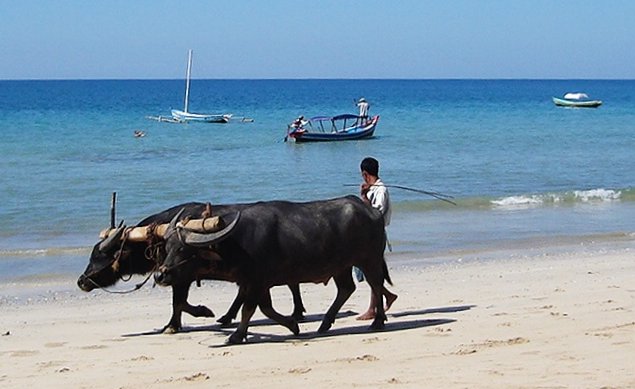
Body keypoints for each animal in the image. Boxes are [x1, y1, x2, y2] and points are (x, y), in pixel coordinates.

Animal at [78, 202, 306, 332]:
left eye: (99, 256)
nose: (81, 281)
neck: (159, 237)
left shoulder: (181, 276)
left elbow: (178, 302)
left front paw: (193, 316)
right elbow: (178, 302)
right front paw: (175, 323)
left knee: (291, 283)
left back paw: (297, 312)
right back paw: (227, 317)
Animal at [155, 196, 392, 344]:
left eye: (184, 249)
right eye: (167, 247)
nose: (160, 275)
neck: (236, 243)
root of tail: (373, 211)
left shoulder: (256, 282)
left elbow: (249, 309)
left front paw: (236, 336)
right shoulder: (256, 283)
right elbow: (265, 308)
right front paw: (292, 325)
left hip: (369, 260)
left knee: (376, 284)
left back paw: (377, 321)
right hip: (341, 267)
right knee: (346, 288)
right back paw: (325, 323)